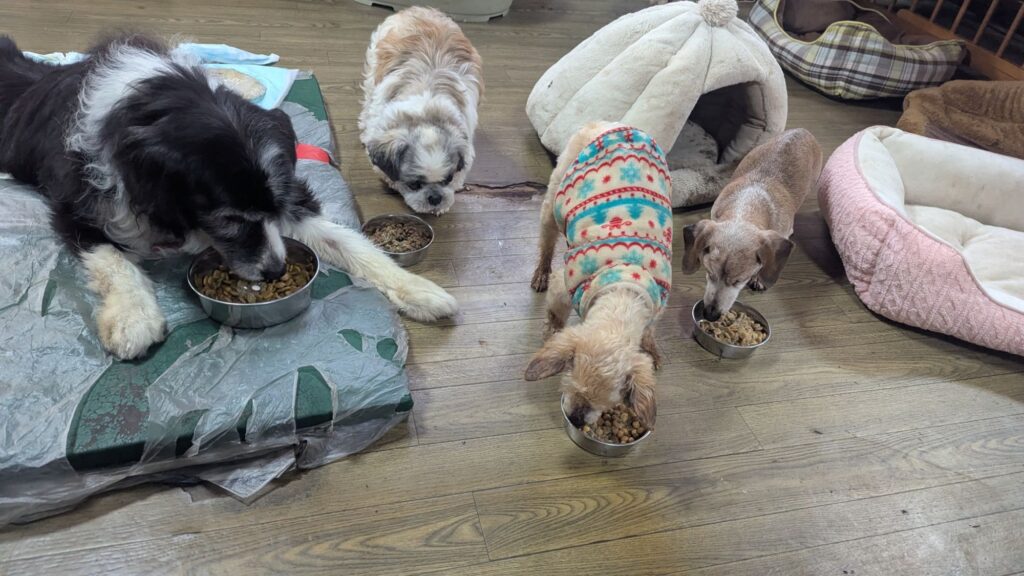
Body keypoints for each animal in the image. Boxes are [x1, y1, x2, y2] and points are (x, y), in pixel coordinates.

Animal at [0, 33, 457, 360]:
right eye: (230, 220)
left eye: (274, 210)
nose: (276, 271)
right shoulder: (75, 203)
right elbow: (111, 258)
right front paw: (134, 318)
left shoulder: (290, 193)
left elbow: (348, 242)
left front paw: (417, 290)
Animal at [525, 122, 672, 429]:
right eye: (571, 385)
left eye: (612, 402)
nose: (576, 419)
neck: (623, 290)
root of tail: (609, 123)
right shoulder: (562, 288)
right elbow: (555, 321)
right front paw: (549, 342)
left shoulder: (658, 305)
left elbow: (649, 332)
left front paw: (652, 349)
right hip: (553, 201)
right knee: (546, 241)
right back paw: (541, 272)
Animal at [681, 128, 822, 321]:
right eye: (709, 273)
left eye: (740, 280)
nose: (710, 314)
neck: (745, 208)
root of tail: (803, 131)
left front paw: (759, 278)